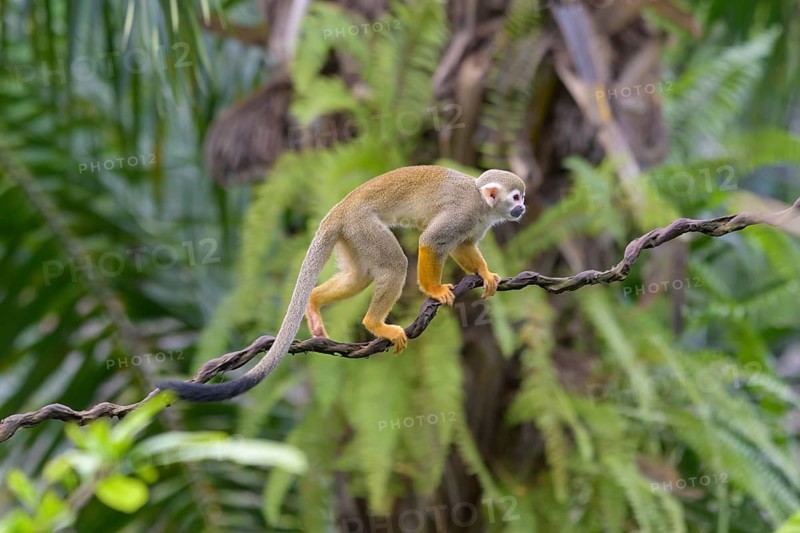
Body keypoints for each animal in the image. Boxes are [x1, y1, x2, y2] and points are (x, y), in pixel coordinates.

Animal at [158, 165, 526, 402]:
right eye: (516, 197)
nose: (523, 208)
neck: (481, 203)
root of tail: (339, 208)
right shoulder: (462, 213)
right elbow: (431, 241)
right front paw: (433, 289)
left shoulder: (476, 223)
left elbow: (464, 247)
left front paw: (485, 274)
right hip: (362, 224)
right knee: (395, 265)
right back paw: (375, 323)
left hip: (351, 234)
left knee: (360, 275)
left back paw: (314, 302)